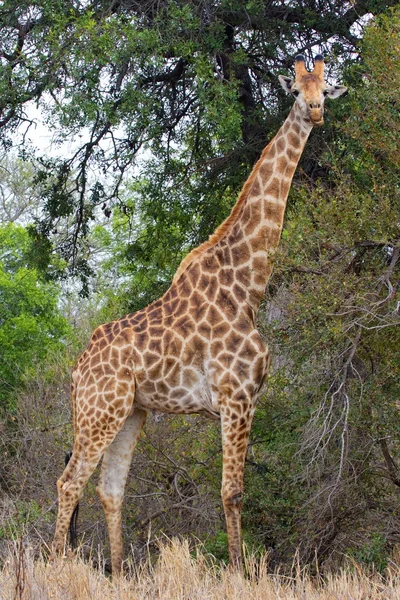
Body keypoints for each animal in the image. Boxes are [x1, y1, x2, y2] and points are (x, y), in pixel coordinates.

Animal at [50, 57, 346, 576]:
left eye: (325, 88)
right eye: (295, 90)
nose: (315, 111)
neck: (247, 286)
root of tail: (77, 369)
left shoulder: (242, 400)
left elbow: (231, 491)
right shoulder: (236, 396)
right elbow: (232, 492)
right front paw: (241, 574)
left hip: (131, 412)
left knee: (109, 488)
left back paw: (119, 574)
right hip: (97, 411)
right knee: (69, 482)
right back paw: (54, 567)